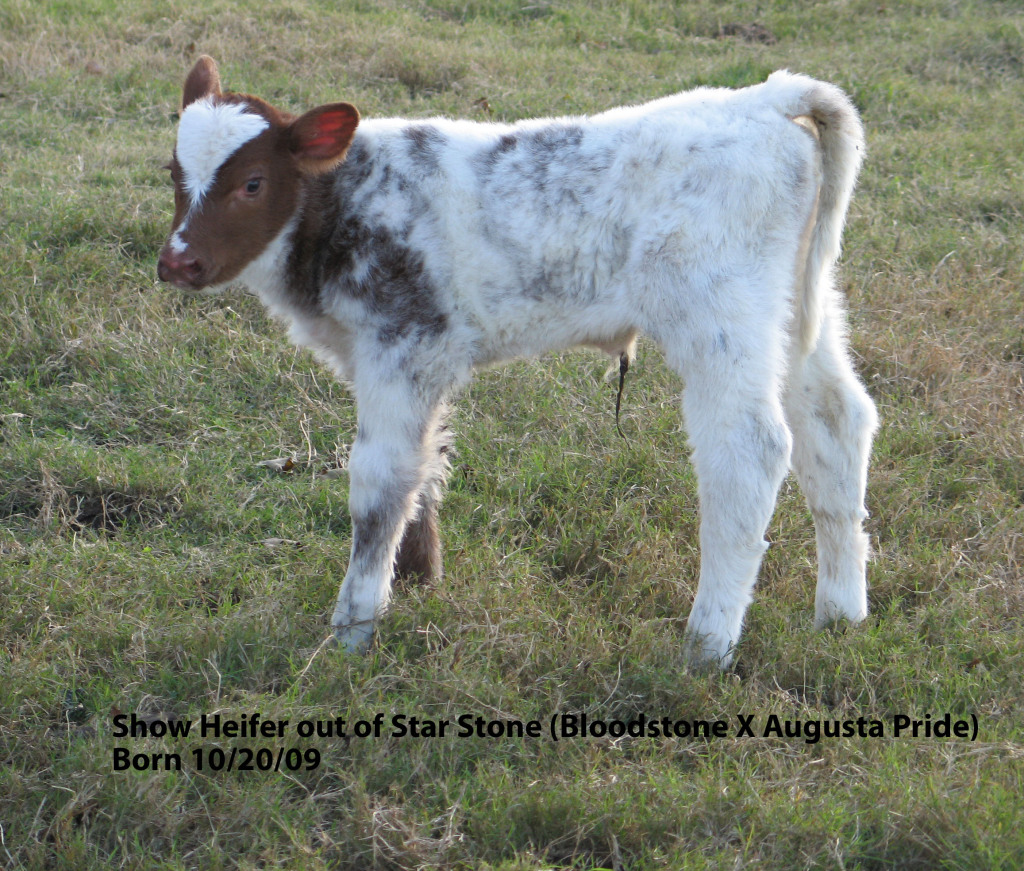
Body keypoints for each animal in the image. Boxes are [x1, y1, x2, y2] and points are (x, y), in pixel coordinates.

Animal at [155, 54, 876, 667]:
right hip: (796, 313)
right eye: (173, 172)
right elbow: (425, 466)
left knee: (747, 453)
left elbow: (379, 487)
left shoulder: (401, 347)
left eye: (253, 183)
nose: (178, 262)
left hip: (721, 320)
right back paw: (841, 614)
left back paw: (707, 644)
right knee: (838, 421)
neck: (345, 203)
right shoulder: (415, 360)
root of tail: (766, 96)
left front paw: (354, 628)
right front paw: (418, 582)